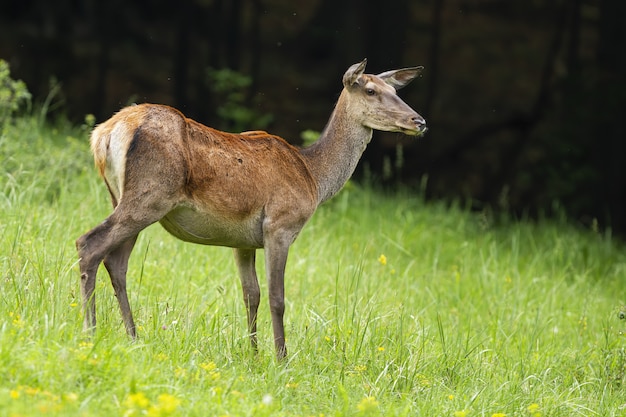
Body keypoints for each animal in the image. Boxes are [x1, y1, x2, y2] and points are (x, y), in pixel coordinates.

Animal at [74, 57, 424, 360]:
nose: (418, 120)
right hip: (149, 196)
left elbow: (250, 294)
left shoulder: (242, 241)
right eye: (370, 90)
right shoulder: (279, 225)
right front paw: (281, 359)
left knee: (116, 261)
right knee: (89, 243)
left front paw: (253, 354)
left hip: (121, 196)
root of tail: (104, 133)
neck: (313, 178)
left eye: (396, 91)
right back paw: (90, 332)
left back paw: (132, 336)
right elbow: (276, 298)